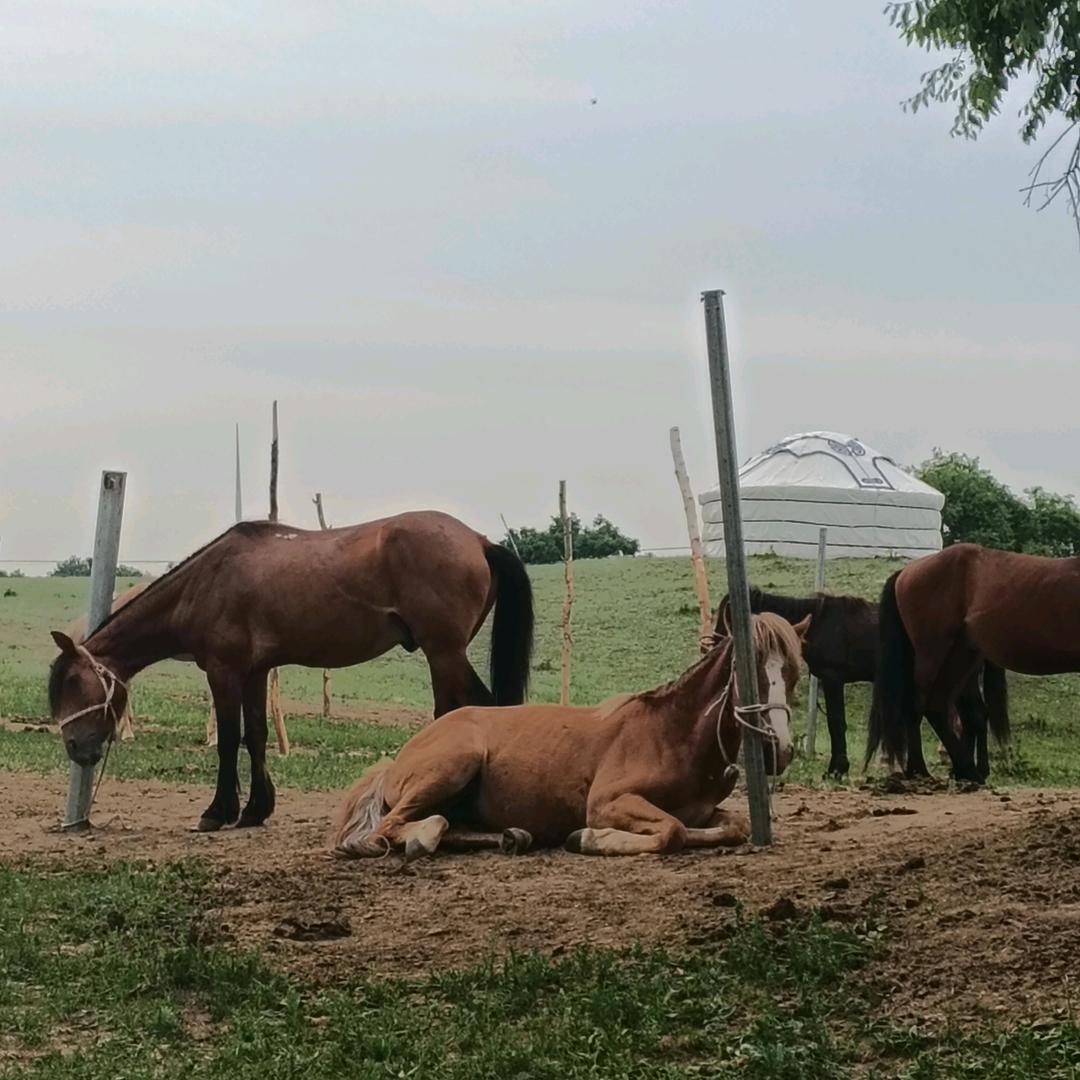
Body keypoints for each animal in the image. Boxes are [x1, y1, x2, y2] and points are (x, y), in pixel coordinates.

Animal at [48, 511, 534, 832]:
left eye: (73, 682)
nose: (75, 748)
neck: (206, 582)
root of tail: (478, 540)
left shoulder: (223, 672)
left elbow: (230, 740)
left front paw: (217, 812)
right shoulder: (255, 672)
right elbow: (257, 735)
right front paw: (255, 810)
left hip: (445, 653)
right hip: (443, 656)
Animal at [332, 611, 809, 860]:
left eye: (794, 672)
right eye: (747, 670)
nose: (778, 750)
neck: (671, 735)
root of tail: (398, 758)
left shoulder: (706, 811)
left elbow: (734, 827)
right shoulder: (607, 803)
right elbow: (672, 830)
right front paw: (590, 839)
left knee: (451, 825)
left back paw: (512, 836)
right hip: (453, 765)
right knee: (398, 827)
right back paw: (424, 837)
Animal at [719, 587, 1008, 781]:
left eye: (727, 619)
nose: (715, 646)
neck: (819, 623)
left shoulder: (832, 679)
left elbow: (836, 723)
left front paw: (837, 768)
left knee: (975, 716)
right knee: (972, 717)